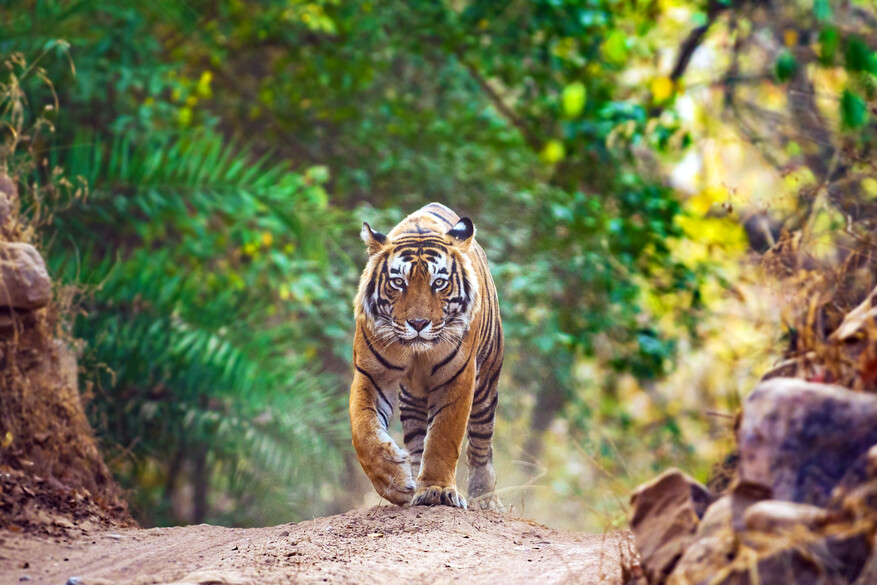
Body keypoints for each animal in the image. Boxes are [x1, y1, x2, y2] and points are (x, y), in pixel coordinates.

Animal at [350, 202, 504, 510]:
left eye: (439, 283)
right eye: (398, 282)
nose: (418, 323)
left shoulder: (458, 377)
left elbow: (445, 436)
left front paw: (437, 490)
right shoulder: (371, 374)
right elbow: (364, 430)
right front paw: (395, 481)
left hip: (486, 385)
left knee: (481, 444)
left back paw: (486, 499)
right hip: (411, 396)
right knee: (416, 438)